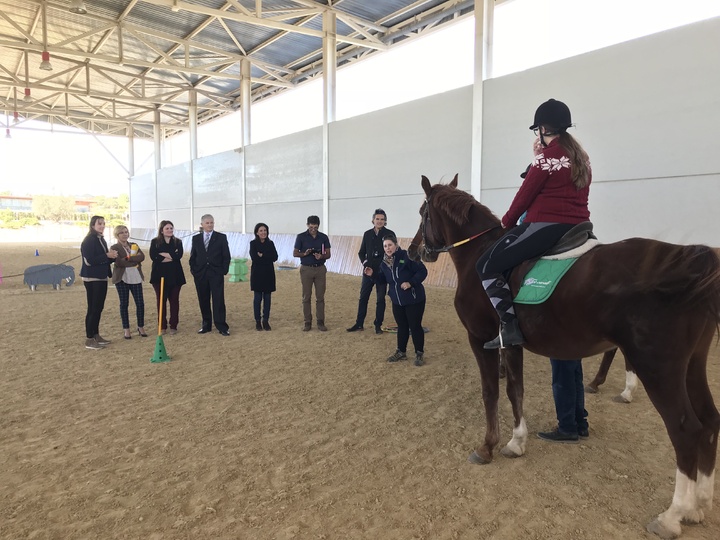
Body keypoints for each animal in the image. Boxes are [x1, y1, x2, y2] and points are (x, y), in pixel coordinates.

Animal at [410, 175, 720, 536]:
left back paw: (673, 515)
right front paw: (517, 443)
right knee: (710, 420)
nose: (413, 250)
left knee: (685, 430)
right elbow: (516, 390)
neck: (479, 254)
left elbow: (491, 392)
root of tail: (689, 260)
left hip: (658, 368)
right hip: (692, 365)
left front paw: (487, 447)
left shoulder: (481, 339)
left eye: (423, 212)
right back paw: (699, 506)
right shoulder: (511, 343)